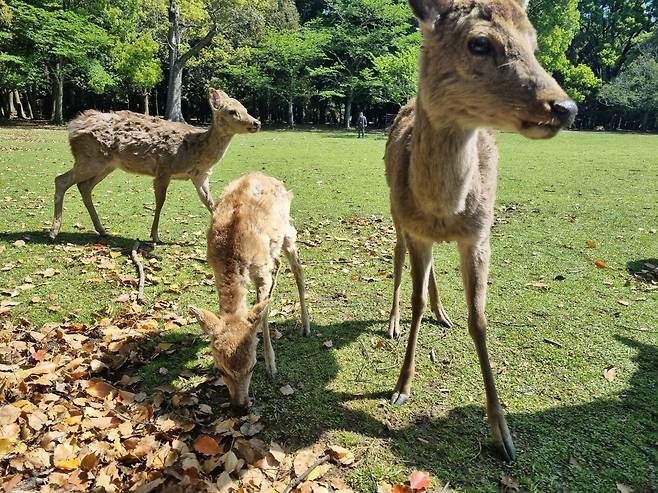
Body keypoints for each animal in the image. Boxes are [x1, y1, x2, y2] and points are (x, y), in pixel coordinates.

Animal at [49, 89, 258, 244]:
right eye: (232, 111)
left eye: (245, 108)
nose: (256, 122)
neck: (197, 151)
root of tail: (73, 126)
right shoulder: (164, 168)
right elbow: (160, 202)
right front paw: (155, 236)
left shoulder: (200, 176)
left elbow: (211, 203)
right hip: (90, 159)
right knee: (61, 180)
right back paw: (54, 231)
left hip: (105, 165)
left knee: (83, 186)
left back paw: (102, 230)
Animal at [188, 171, 308, 410]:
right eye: (220, 369)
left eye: (252, 366)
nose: (240, 405)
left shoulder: (261, 270)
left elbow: (263, 313)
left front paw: (272, 367)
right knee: (278, 262)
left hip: (288, 231)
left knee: (297, 269)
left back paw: (306, 327)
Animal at [382, 0, 576, 462]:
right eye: (480, 43)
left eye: (534, 40)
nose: (565, 107)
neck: (443, 211)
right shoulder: (415, 227)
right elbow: (414, 300)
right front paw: (401, 387)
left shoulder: (479, 234)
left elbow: (480, 319)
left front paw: (503, 433)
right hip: (396, 215)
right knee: (398, 259)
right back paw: (393, 323)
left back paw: (443, 313)